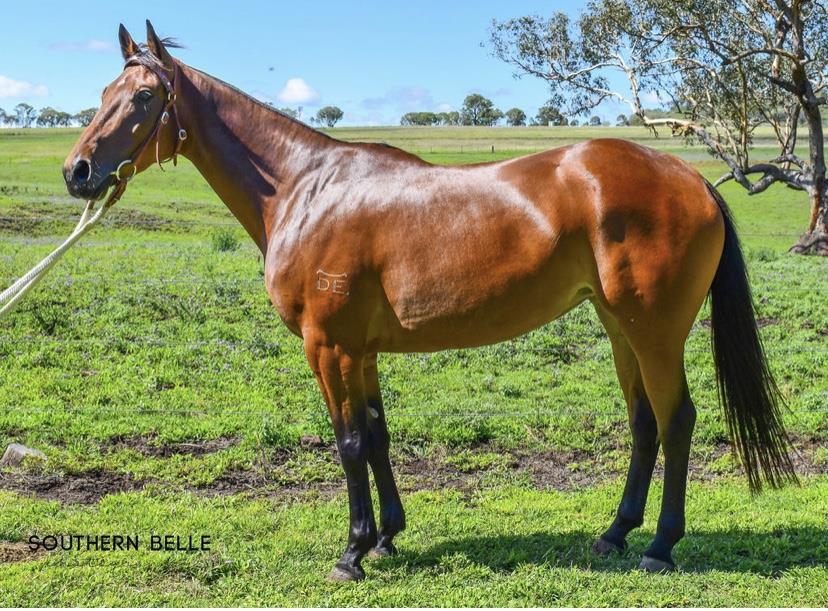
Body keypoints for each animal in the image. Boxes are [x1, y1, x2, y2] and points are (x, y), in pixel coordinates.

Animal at [63, 22, 796, 581]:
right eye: (104, 93)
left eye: (143, 97)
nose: (78, 171)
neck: (304, 187)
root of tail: (693, 180)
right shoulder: (362, 351)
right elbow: (378, 435)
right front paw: (388, 535)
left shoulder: (328, 346)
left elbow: (348, 441)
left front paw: (352, 551)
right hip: (620, 329)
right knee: (644, 424)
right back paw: (615, 534)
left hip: (654, 332)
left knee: (676, 421)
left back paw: (659, 546)